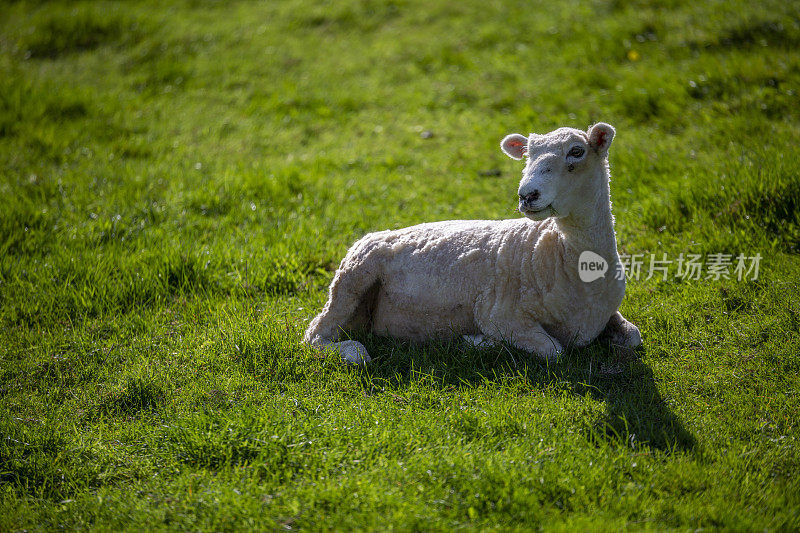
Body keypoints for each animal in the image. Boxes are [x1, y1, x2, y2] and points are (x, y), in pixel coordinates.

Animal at [304, 121, 640, 362]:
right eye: (527, 155)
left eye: (577, 152)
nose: (527, 194)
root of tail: (370, 235)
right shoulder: (499, 313)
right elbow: (554, 350)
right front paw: (477, 341)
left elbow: (634, 337)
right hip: (352, 279)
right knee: (316, 334)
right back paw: (353, 352)